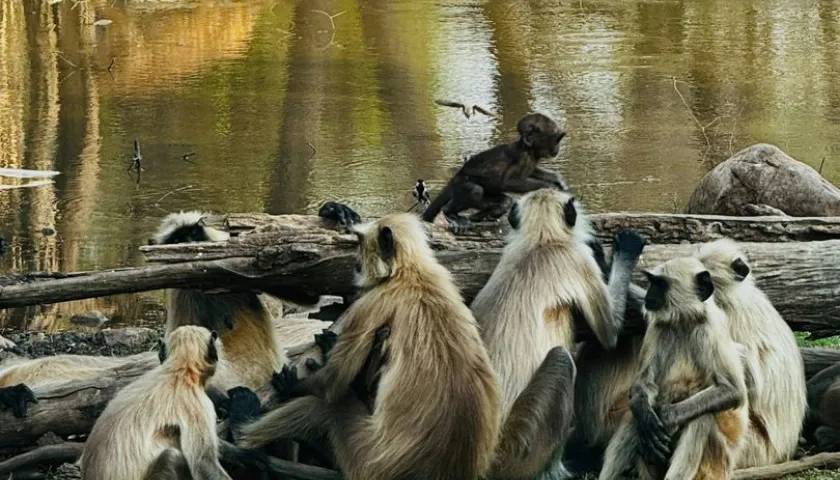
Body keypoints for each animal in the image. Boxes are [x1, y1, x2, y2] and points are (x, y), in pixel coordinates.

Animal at [238, 213, 502, 480]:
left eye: (360, 243)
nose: (355, 262)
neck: (411, 273)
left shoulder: (371, 302)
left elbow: (333, 383)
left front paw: (290, 385)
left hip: (365, 459)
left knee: (326, 406)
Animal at [422, 113, 567, 231]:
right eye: (557, 140)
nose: (559, 148)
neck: (529, 150)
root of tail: (456, 177)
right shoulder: (522, 157)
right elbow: (509, 182)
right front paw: (549, 187)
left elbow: (532, 172)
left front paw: (557, 180)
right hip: (460, 184)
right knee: (474, 190)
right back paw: (451, 213)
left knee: (505, 201)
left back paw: (480, 216)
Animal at [470, 188, 644, 479]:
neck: (541, 241)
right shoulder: (576, 259)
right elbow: (609, 334)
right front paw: (624, 251)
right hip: (520, 447)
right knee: (562, 359)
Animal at [599, 257, 748, 480]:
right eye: (652, 282)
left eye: (660, 284)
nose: (649, 293)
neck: (684, 320)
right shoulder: (659, 327)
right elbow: (643, 387)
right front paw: (647, 416)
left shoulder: (710, 330)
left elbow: (732, 390)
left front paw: (668, 416)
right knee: (634, 416)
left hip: (715, 464)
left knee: (702, 416)